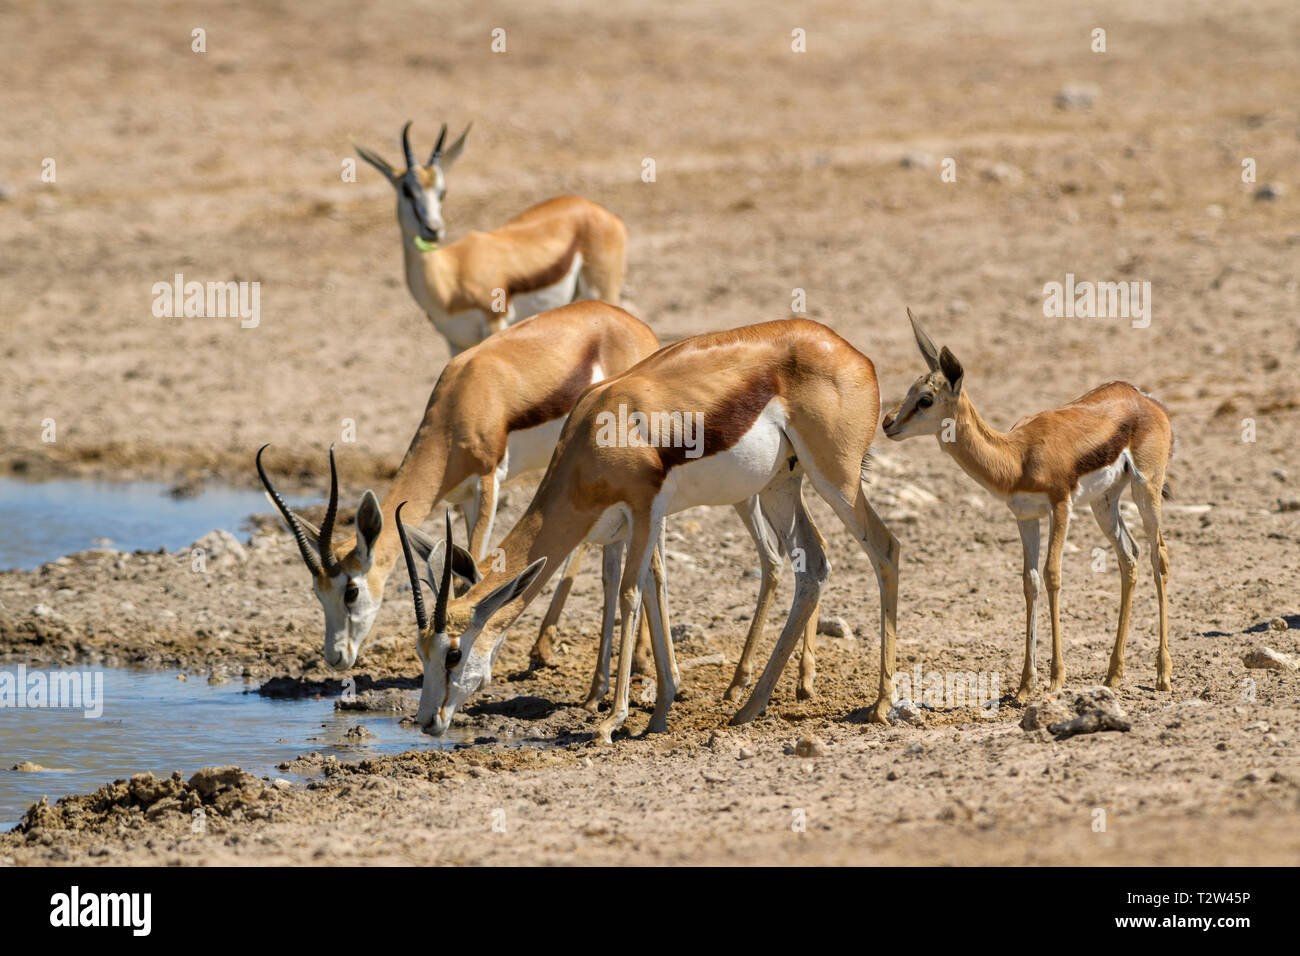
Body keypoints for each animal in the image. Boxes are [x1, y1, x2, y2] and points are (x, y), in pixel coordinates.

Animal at [256, 303, 660, 671]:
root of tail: (636, 325)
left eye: (351, 591)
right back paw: (548, 649)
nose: (336, 658)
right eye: (316, 591)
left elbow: (474, 570)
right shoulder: (463, 499)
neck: (461, 402)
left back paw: (633, 659)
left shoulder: (487, 485)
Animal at [358, 122, 626, 356]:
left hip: (602, 292)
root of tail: (603, 213)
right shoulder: (454, 341)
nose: (432, 229)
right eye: (407, 190)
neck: (449, 275)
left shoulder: (495, 323)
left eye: (442, 192)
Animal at [395, 317, 899, 743]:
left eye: (453, 652)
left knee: (885, 547)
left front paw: (610, 722)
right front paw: (658, 713)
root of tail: (853, 353)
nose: (428, 721)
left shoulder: (643, 510)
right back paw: (749, 707)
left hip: (835, 480)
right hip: (780, 485)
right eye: (421, 651)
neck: (596, 432)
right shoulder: (643, 521)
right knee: (812, 565)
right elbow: (655, 586)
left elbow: (630, 593)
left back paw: (879, 704)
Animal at [878, 310, 1175, 697]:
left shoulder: (1060, 506)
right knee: (1130, 557)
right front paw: (1024, 685)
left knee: (1159, 557)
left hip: (1146, 490)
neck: (1016, 457)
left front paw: (1055, 678)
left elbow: (1052, 575)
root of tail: (1144, 399)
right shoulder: (1025, 516)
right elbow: (1029, 581)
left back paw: (1163, 674)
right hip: (1104, 502)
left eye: (925, 399)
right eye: (910, 391)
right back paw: (1113, 674)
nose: (888, 424)